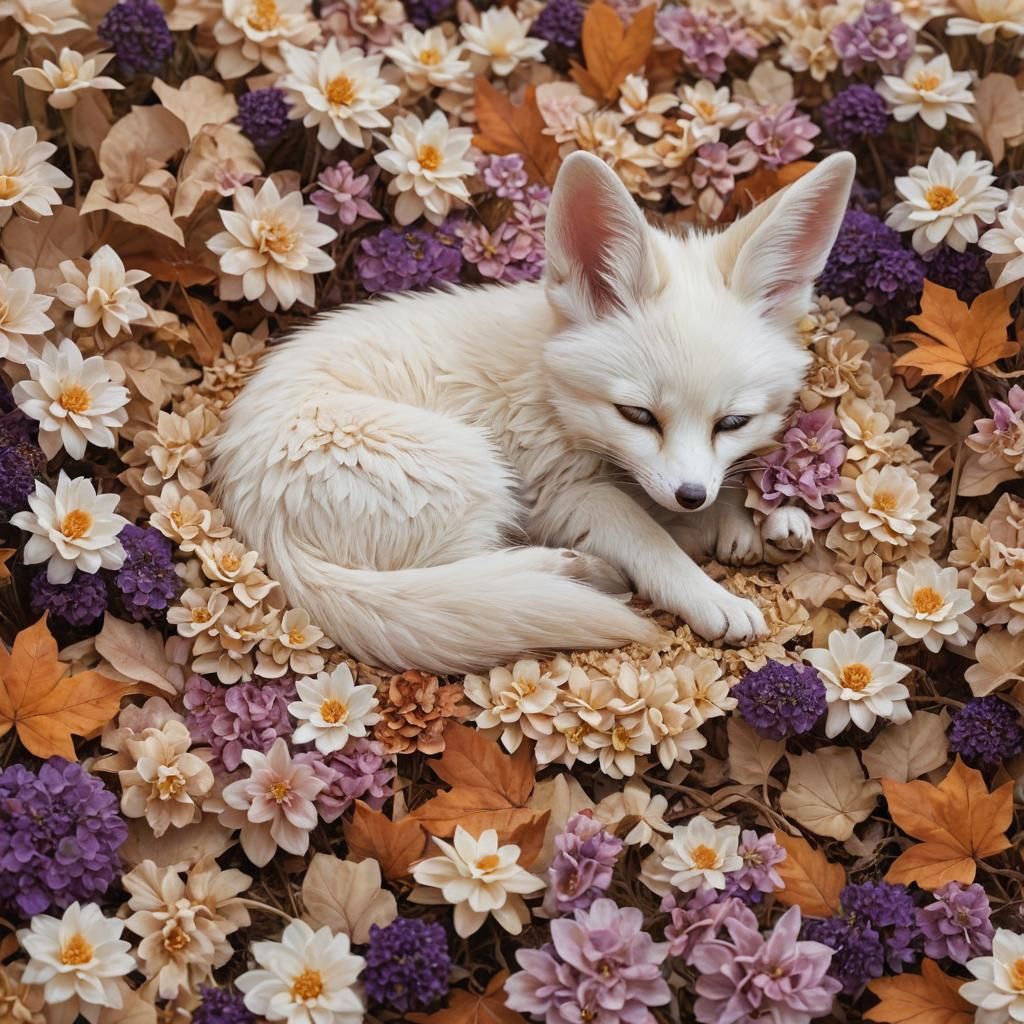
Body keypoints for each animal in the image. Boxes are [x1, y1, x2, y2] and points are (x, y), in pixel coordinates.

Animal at [208, 150, 857, 674]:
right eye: (638, 415)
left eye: (733, 423)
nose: (692, 494)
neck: (547, 380)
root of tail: (260, 524)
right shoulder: (565, 496)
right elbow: (652, 539)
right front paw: (712, 592)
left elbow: (684, 506)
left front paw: (762, 521)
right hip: (473, 469)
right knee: (458, 581)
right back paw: (575, 573)